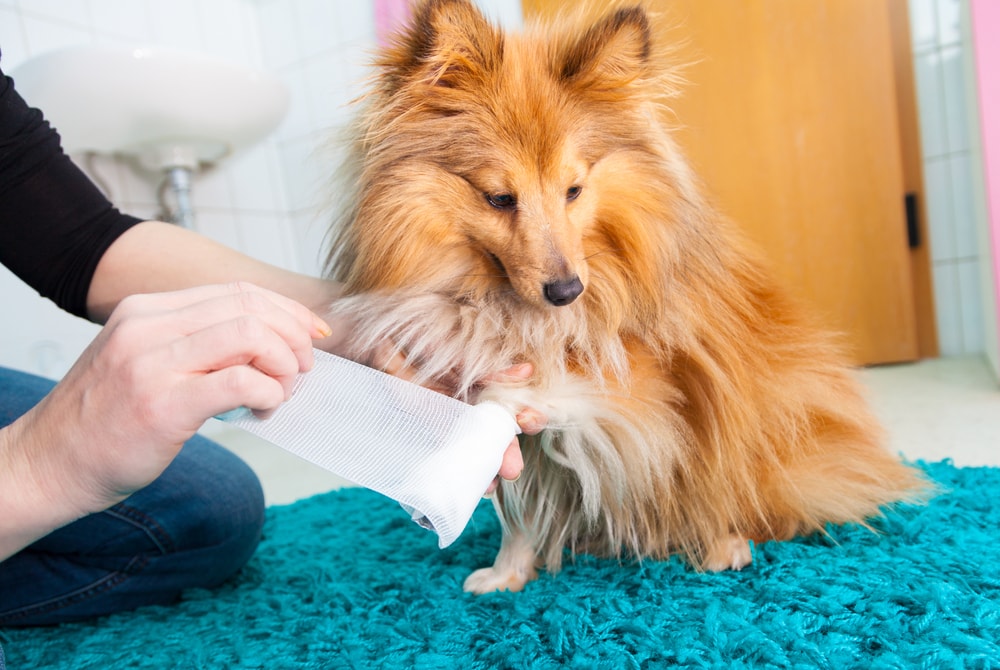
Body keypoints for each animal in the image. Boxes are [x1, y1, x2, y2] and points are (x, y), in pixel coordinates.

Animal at [326, 0, 928, 592]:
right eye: (499, 198)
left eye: (574, 189)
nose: (567, 291)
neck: (505, 303)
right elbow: (518, 511)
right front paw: (506, 574)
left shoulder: (648, 386)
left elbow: (528, 389)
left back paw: (724, 544)